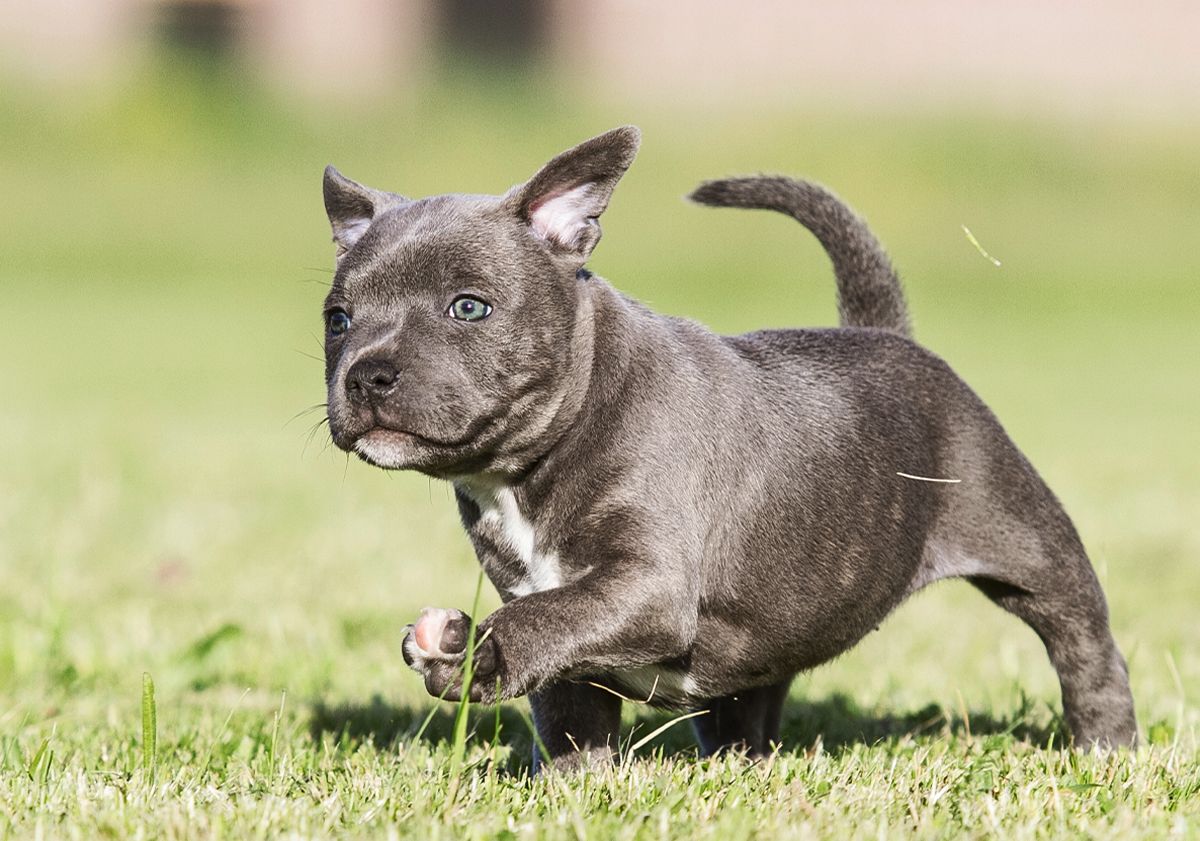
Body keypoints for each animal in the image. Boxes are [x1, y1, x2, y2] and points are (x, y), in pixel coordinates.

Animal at [316, 126, 1132, 767]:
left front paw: (471, 656)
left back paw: (1105, 746)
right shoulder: (552, 601)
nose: (367, 375)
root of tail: (885, 333)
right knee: (750, 690)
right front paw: (578, 788)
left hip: (1027, 539)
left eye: (469, 308)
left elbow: (546, 621)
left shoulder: (645, 584)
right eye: (337, 320)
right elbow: (570, 701)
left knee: (1083, 642)